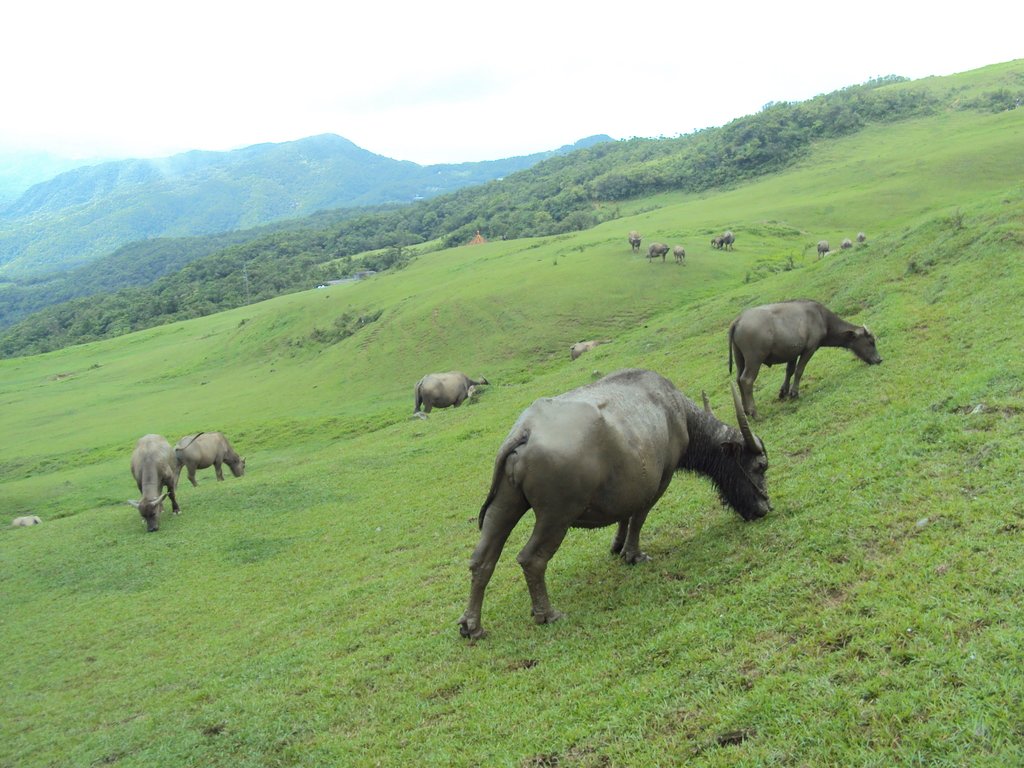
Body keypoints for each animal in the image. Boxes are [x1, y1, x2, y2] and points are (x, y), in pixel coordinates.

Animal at [458, 370, 770, 638]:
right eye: (760, 465)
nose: (765, 508)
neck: (676, 413)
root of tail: (525, 431)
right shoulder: (659, 481)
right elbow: (638, 518)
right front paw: (633, 554)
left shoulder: (629, 485)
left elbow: (624, 514)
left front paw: (617, 545)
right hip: (556, 516)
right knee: (531, 559)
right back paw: (546, 613)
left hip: (505, 504)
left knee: (481, 560)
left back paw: (472, 625)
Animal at [729, 301, 880, 421]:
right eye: (871, 342)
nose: (879, 359)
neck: (821, 318)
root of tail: (738, 320)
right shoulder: (809, 349)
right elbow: (799, 370)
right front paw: (794, 393)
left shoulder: (792, 353)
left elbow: (789, 371)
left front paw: (783, 392)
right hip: (754, 359)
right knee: (746, 380)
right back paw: (754, 413)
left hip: (740, 358)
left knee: (738, 379)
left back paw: (745, 412)